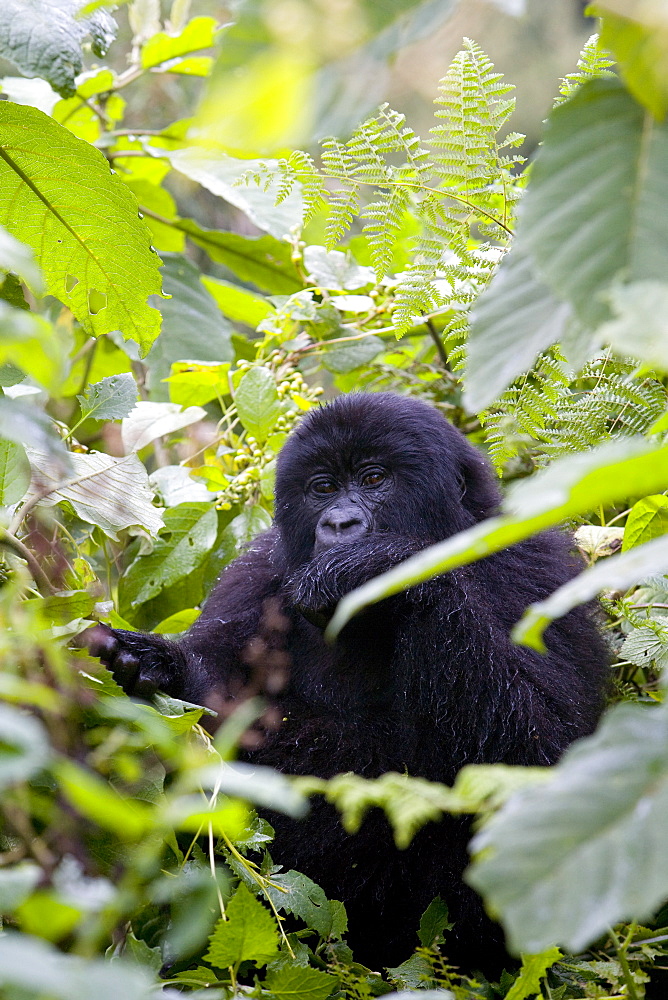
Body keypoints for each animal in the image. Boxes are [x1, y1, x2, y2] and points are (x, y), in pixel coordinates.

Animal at [85, 392, 612, 976]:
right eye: (323, 488)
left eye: (374, 478)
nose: (339, 523)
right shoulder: (254, 577)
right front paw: (158, 665)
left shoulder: (538, 572)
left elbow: (541, 759)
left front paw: (379, 568)